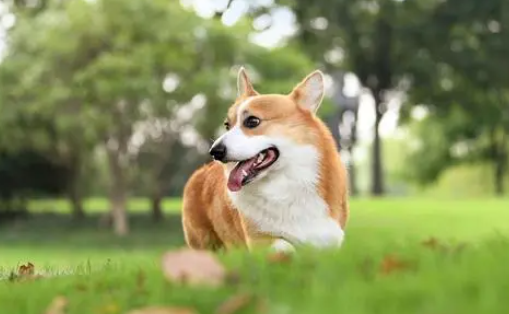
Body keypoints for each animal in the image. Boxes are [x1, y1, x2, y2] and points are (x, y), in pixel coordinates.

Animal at [182, 68, 350, 253]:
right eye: (227, 125)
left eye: (252, 121)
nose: (215, 152)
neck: (285, 182)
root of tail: (201, 170)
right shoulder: (260, 239)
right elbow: (285, 246)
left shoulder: (330, 238)